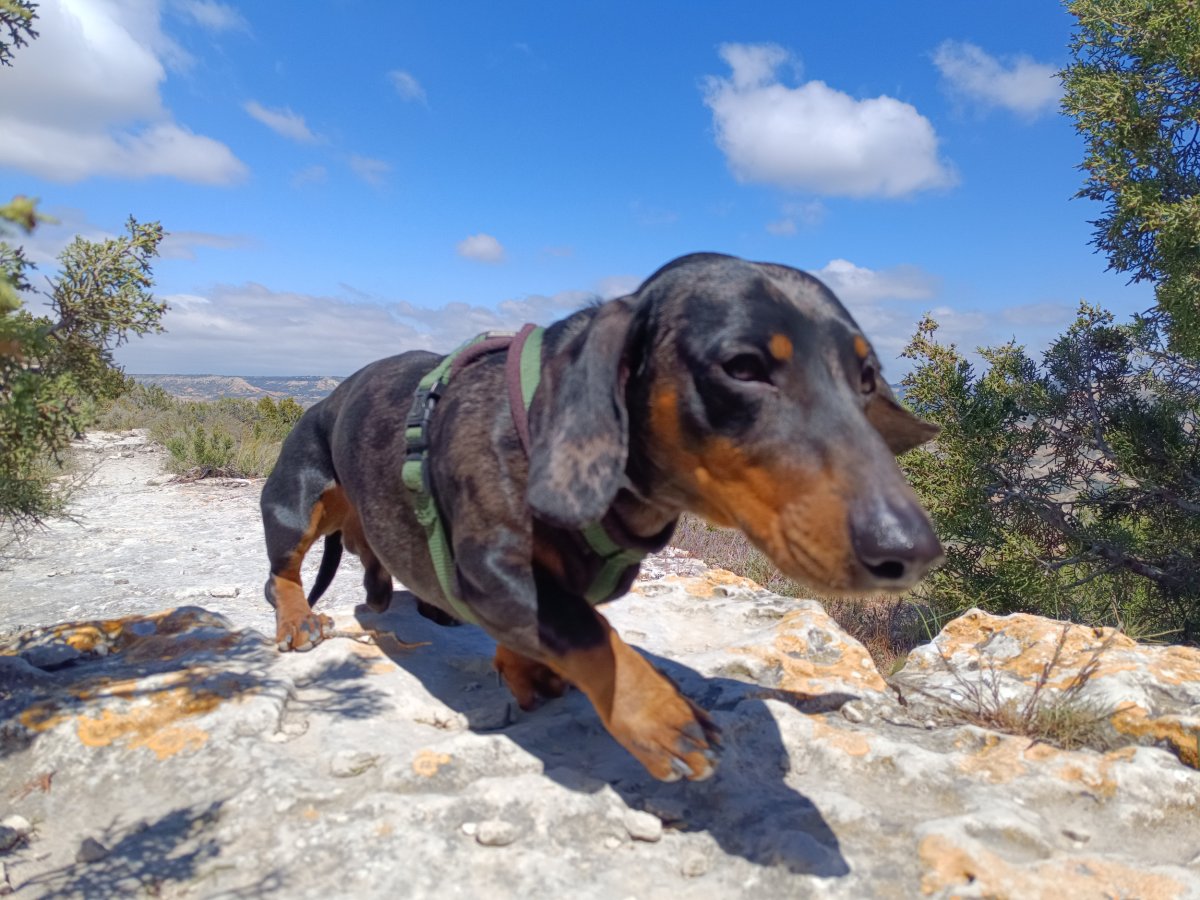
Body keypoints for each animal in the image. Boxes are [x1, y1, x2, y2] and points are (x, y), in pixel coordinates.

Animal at [258, 254, 940, 782]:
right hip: (296, 502)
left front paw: (525, 672)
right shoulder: (491, 567)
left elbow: (542, 633)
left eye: (866, 377)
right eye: (742, 367)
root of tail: (325, 399)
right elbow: (589, 633)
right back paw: (298, 621)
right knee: (280, 576)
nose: (912, 550)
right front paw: (661, 719)